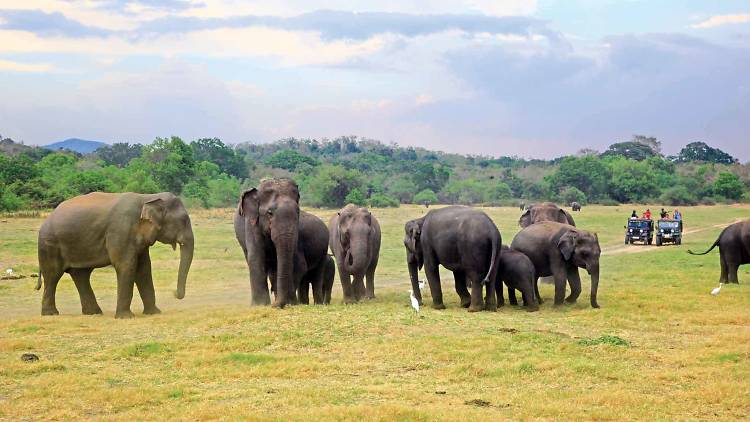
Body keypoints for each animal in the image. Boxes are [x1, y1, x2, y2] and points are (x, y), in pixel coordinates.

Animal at [35, 193, 194, 318]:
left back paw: (93, 313)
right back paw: (51, 314)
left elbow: (144, 269)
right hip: (49, 244)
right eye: (184, 220)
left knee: (81, 275)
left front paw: (154, 313)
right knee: (53, 276)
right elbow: (127, 265)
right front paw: (126, 317)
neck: (147, 197)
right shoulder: (121, 230)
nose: (174, 293)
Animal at [235, 176, 328, 308]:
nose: (277, 305)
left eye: (298, 212)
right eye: (269, 213)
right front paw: (260, 305)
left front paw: (291, 303)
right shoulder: (252, 223)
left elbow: (298, 264)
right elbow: (256, 256)